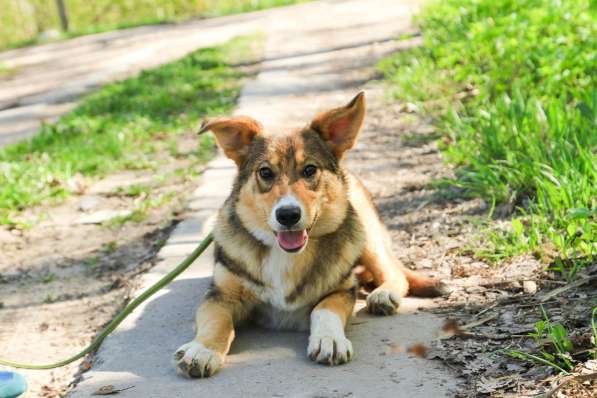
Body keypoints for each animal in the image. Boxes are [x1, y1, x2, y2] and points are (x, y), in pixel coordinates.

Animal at [172, 91, 442, 378]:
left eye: (310, 170)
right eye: (265, 172)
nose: (288, 214)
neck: (285, 255)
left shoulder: (342, 290)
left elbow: (324, 309)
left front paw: (329, 339)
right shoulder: (220, 296)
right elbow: (217, 321)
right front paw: (202, 349)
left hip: (365, 231)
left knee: (394, 272)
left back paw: (384, 293)